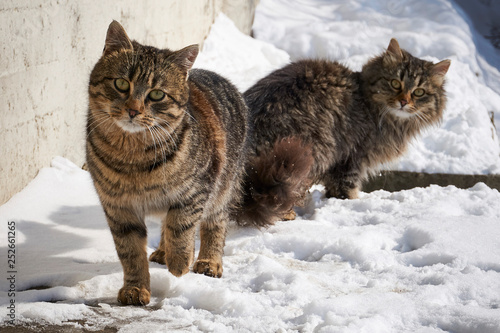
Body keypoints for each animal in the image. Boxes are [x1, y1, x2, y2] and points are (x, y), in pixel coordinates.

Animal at [88, 20, 250, 304]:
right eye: (121, 83)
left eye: (156, 95)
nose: (133, 110)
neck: (131, 156)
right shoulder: (118, 207)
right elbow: (130, 251)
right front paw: (135, 288)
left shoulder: (197, 189)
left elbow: (181, 225)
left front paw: (180, 260)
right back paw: (163, 252)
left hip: (224, 187)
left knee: (214, 223)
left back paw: (208, 261)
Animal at [236, 38, 452, 226]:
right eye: (395, 83)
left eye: (419, 92)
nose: (404, 102)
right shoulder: (352, 157)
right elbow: (347, 188)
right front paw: (352, 203)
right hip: (309, 151)